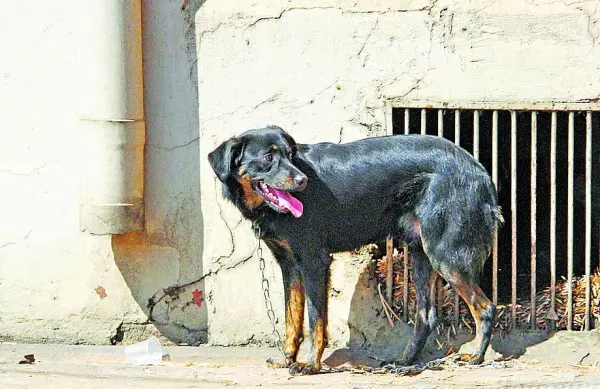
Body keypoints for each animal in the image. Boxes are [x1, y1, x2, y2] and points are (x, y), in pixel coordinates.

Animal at [209, 124, 504, 372]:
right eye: (268, 158)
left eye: (290, 155)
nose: (303, 180)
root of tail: (480, 172)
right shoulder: (289, 264)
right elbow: (292, 319)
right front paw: (287, 359)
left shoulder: (314, 261)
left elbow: (315, 320)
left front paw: (310, 364)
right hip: (422, 253)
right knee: (426, 316)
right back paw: (403, 362)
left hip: (445, 254)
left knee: (485, 307)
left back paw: (475, 357)